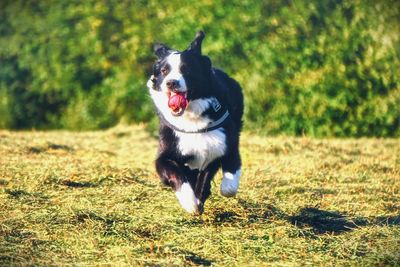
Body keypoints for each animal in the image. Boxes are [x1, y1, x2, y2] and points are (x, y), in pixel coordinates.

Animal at [145, 30, 242, 216]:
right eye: (164, 71)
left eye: (186, 69)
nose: (171, 82)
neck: (191, 117)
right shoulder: (165, 154)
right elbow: (176, 174)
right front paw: (190, 202)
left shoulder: (222, 142)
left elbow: (227, 174)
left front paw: (223, 187)